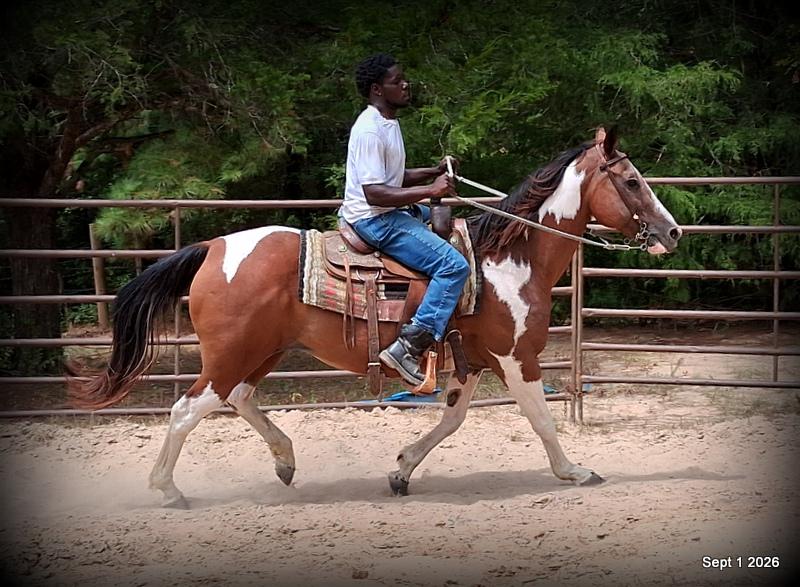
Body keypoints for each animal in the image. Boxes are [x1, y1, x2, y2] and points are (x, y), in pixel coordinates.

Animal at [68, 127, 682, 507]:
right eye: (632, 181)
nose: (673, 231)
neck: (510, 259)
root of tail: (213, 246)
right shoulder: (516, 359)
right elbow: (541, 420)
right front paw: (574, 472)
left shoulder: (472, 361)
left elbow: (452, 420)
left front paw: (402, 468)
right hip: (231, 354)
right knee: (186, 410)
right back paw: (168, 490)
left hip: (261, 352)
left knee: (238, 398)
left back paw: (285, 462)